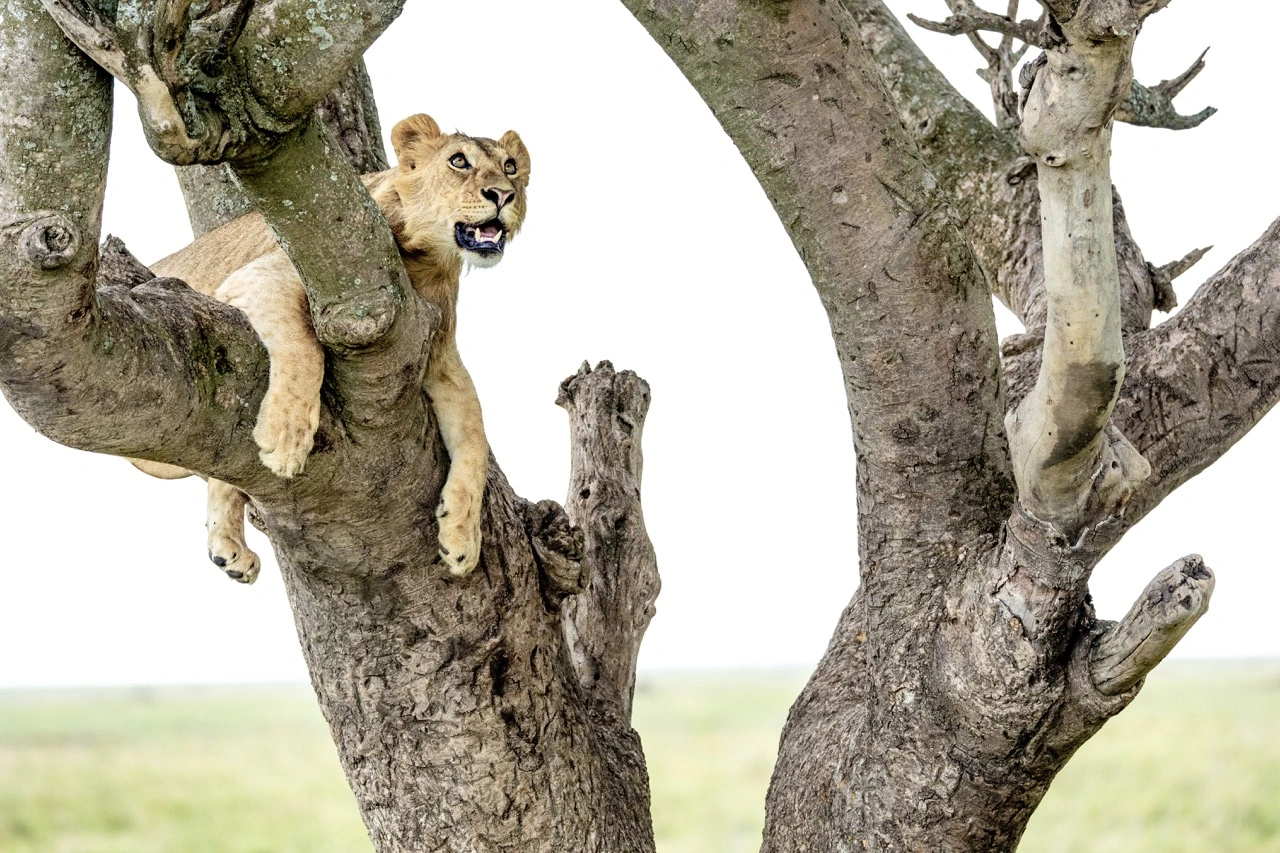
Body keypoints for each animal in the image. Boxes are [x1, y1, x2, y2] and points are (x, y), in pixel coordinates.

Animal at [131, 112, 529, 581]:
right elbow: (305, 348)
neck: (429, 263)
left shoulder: (442, 358)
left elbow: (475, 437)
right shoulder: (265, 273)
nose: (503, 194)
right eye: (459, 161)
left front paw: (462, 539)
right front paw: (285, 439)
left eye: (509, 167)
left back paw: (227, 548)